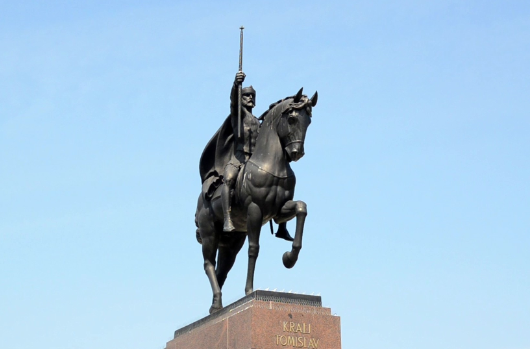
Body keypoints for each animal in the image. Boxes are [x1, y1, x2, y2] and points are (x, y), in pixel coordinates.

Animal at [195, 87, 316, 312]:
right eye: (292, 119)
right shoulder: (255, 210)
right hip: (209, 234)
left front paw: (289, 258)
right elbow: (254, 249)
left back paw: (216, 307)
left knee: (221, 270)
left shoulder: (279, 211)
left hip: (232, 243)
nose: (297, 153)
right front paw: (250, 291)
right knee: (209, 264)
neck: (271, 164)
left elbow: (301, 208)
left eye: (309, 120)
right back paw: (217, 302)